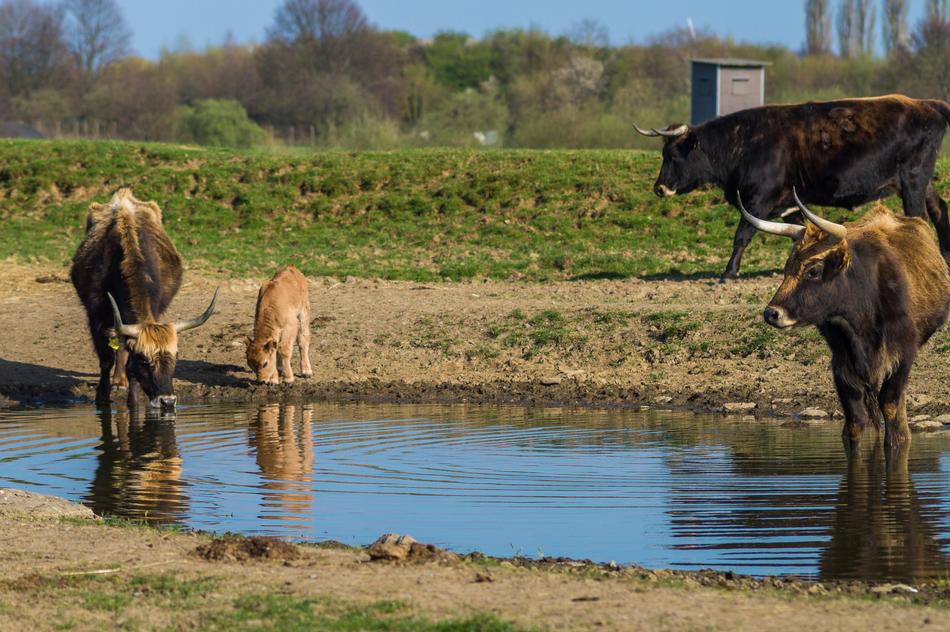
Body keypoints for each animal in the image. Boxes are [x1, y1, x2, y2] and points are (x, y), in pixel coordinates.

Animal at [70, 189, 218, 411]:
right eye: (144, 360)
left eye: (175, 357)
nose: (168, 401)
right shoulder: (95, 316)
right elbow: (106, 359)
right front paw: (102, 398)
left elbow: (127, 363)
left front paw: (132, 401)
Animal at [635, 95, 950, 279]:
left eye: (674, 156)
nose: (659, 188)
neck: (744, 144)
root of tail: (929, 104)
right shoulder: (789, 205)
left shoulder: (757, 200)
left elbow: (742, 235)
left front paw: (728, 272)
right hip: (918, 181)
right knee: (939, 209)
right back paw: (944, 256)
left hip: (913, 178)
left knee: (919, 216)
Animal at [738, 189, 950, 450]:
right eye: (787, 267)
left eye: (813, 271)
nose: (771, 313)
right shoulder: (841, 362)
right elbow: (855, 419)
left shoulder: (903, 355)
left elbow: (892, 410)